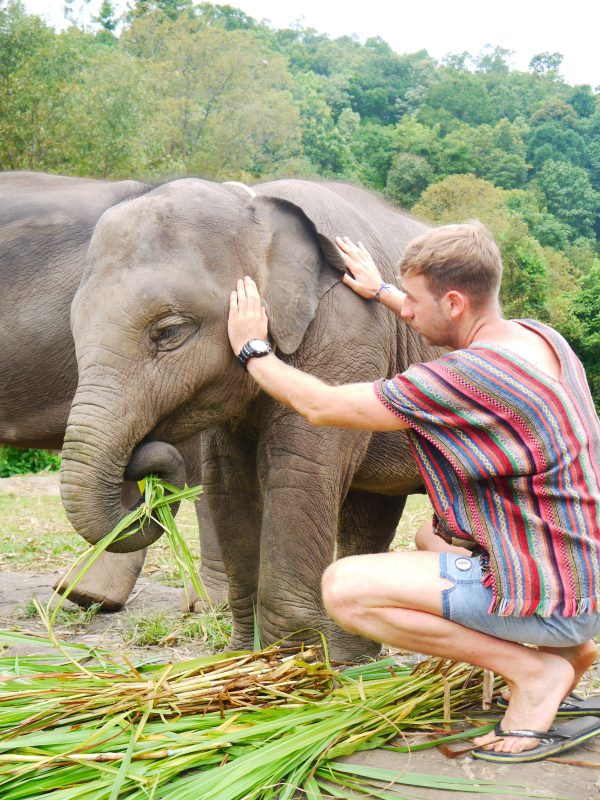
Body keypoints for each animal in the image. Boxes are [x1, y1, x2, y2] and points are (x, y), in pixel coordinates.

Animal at [58, 176, 443, 659]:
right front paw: (246, 653)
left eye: (168, 331)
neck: (256, 206)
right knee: (370, 512)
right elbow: (227, 480)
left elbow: (297, 469)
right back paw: (353, 663)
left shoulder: (347, 334)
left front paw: (292, 661)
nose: (143, 457)